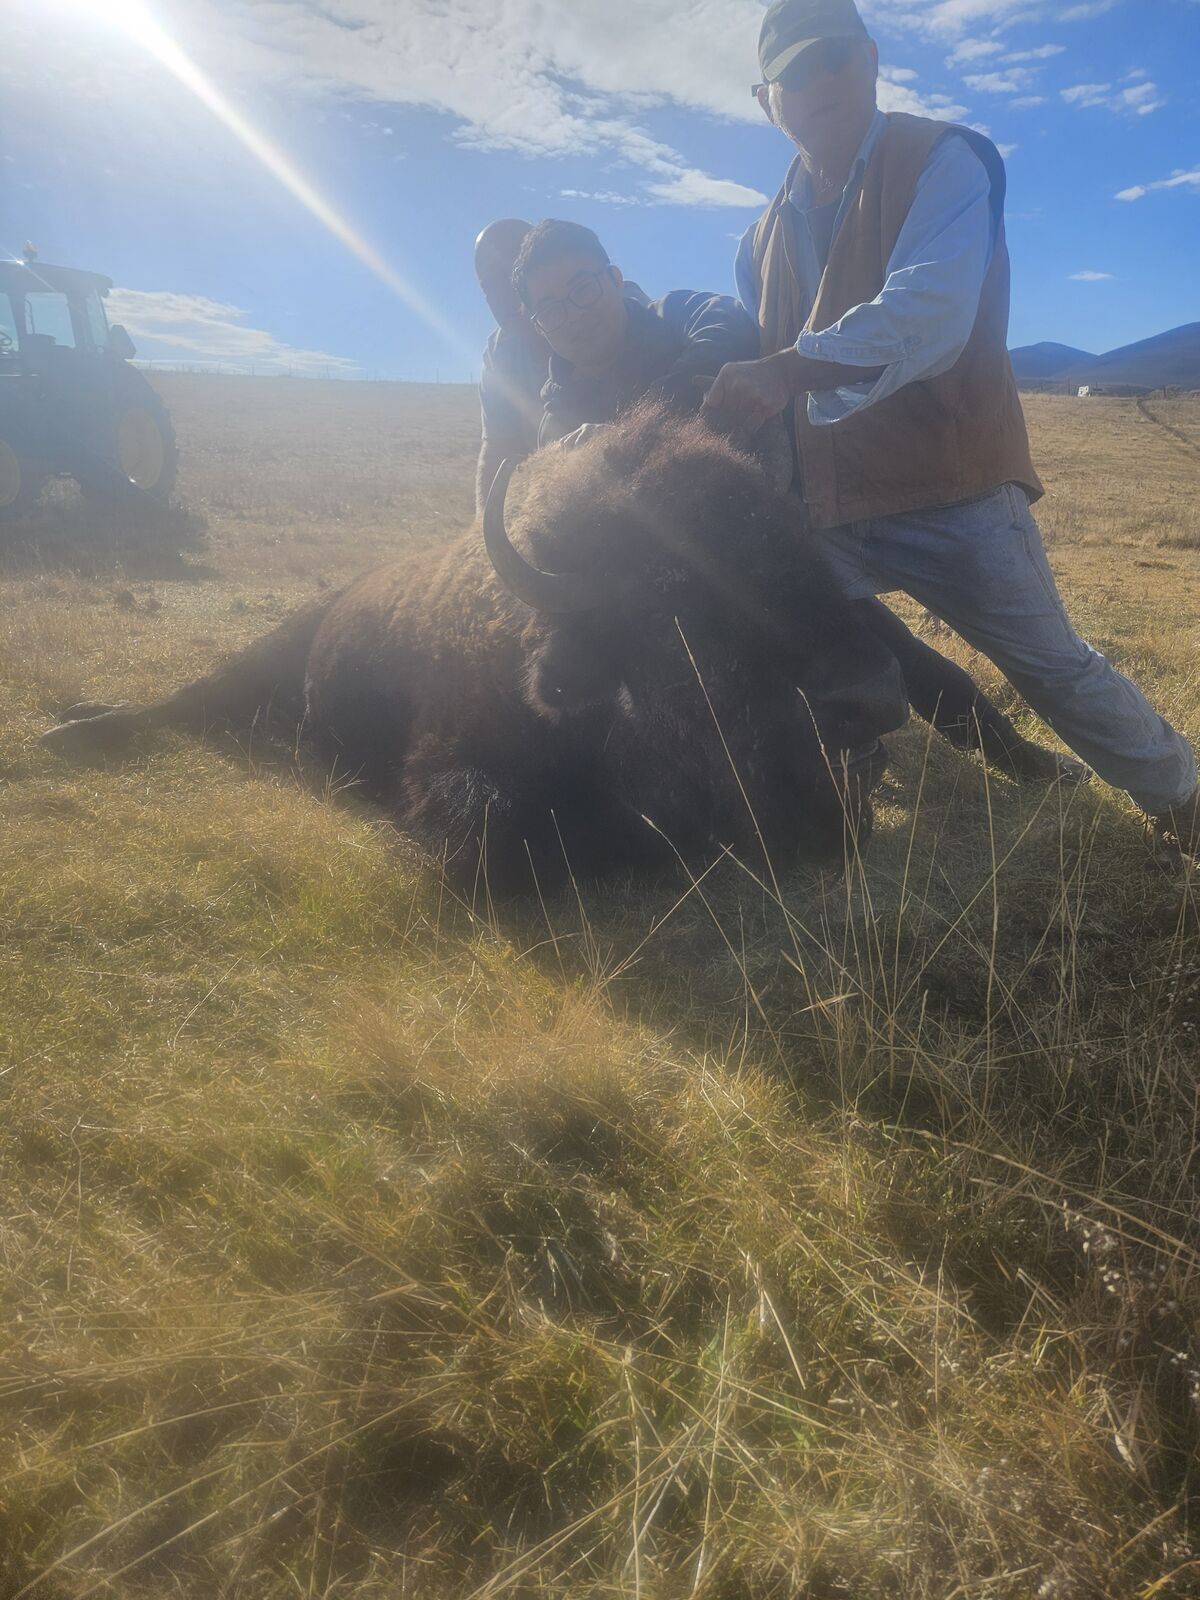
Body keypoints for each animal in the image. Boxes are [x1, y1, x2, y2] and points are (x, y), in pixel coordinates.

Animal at [41, 405, 908, 895]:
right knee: (185, 701)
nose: (876, 697)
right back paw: (74, 728)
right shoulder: (447, 764)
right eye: (676, 593)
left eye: (801, 543)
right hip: (265, 651)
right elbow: (489, 833)